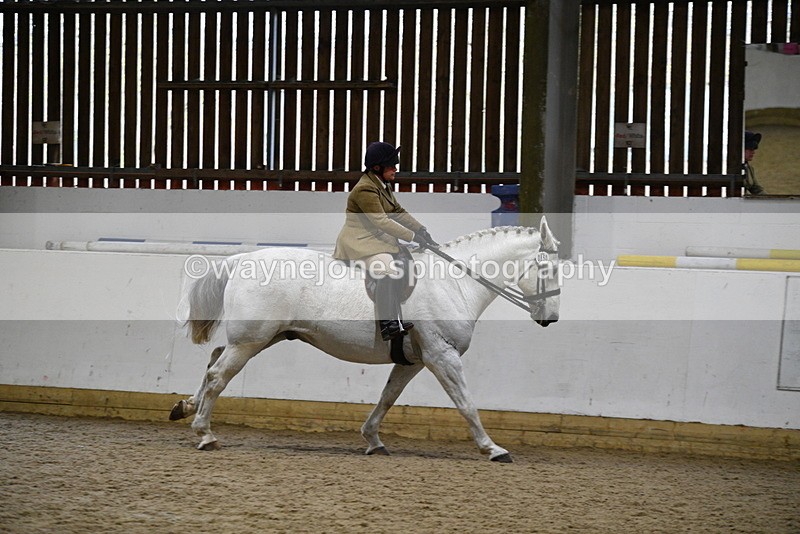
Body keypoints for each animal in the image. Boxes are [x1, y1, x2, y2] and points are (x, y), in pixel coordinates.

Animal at [170, 217, 561, 462]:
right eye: (550, 269)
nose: (551, 319)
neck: (455, 282)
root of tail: (242, 258)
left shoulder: (415, 361)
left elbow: (388, 398)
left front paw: (373, 440)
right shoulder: (442, 356)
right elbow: (466, 404)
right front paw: (492, 448)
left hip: (264, 337)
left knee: (214, 360)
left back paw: (186, 406)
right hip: (250, 341)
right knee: (218, 376)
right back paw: (204, 433)